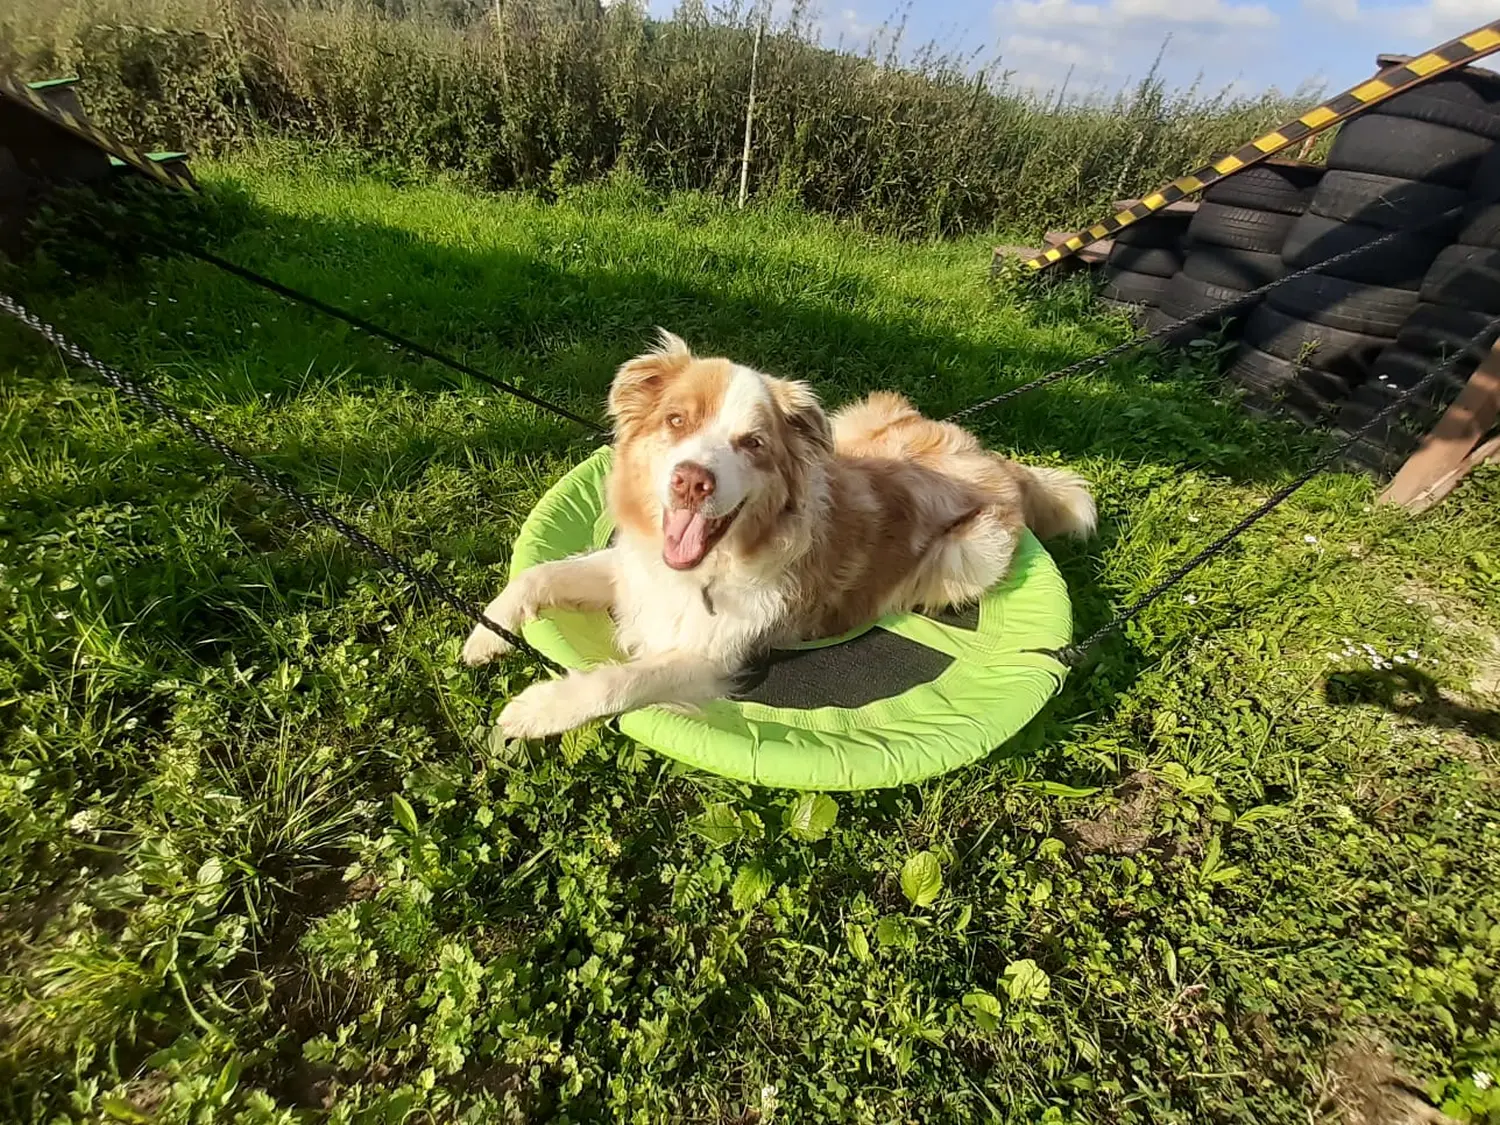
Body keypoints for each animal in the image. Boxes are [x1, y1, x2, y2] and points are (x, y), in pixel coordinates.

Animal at [462, 333, 1098, 741]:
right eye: (676, 421)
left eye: (753, 444)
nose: (691, 481)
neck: (708, 567)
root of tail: (992, 456)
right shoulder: (635, 573)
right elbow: (539, 573)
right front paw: (485, 636)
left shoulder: (714, 658)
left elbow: (620, 679)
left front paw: (535, 710)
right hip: (851, 422)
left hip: (969, 553)